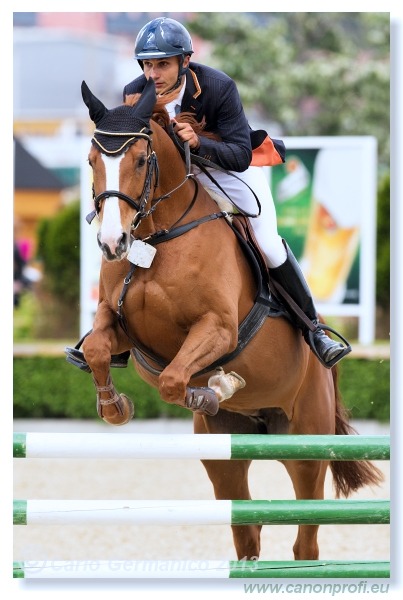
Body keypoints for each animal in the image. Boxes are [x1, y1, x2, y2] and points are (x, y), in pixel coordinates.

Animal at [70, 79, 386, 564]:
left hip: (306, 444)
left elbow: (174, 379)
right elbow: (98, 349)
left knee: (305, 538)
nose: (111, 242)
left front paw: (214, 387)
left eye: (141, 160)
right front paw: (115, 407)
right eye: (90, 161)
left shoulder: (217, 328)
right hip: (225, 453)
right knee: (247, 529)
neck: (160, 236)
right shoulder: (120, 325)